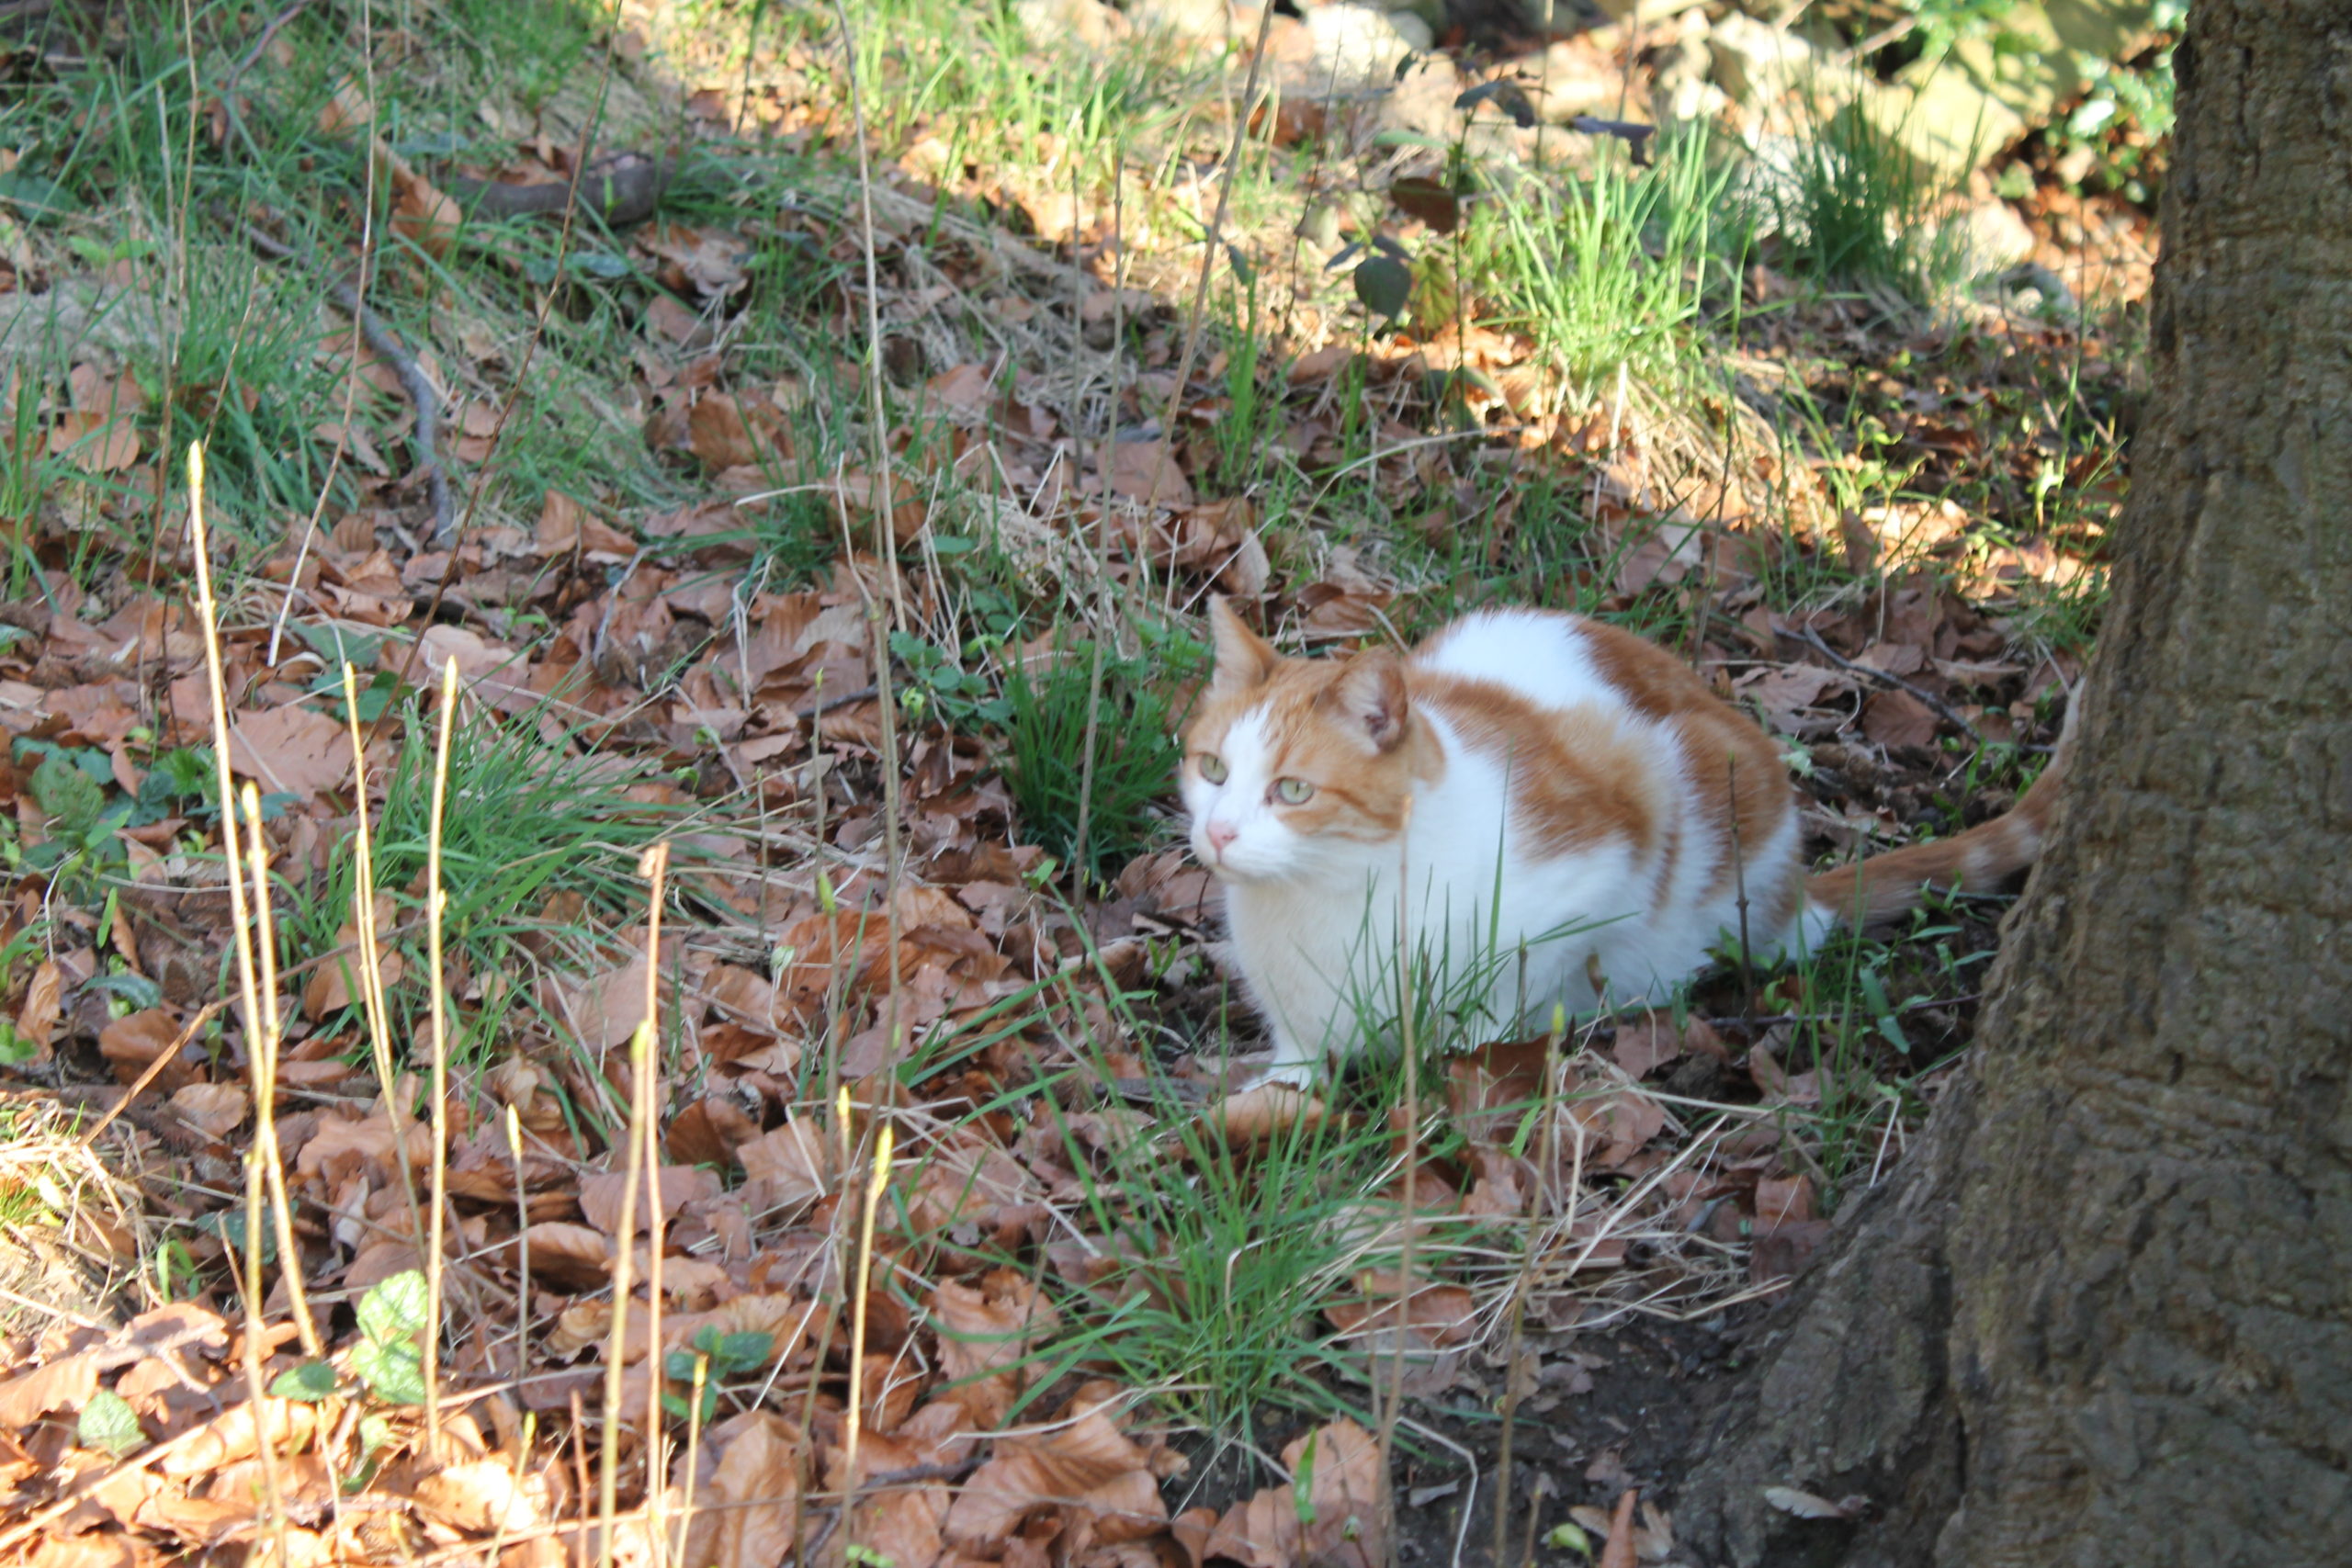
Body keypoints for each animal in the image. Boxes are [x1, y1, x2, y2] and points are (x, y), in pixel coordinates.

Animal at [1185, 594, 2069, 1086]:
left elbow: (1497, 1010)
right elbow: (1295, 1063)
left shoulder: (1602, 858)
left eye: (1292, 790)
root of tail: (1795, 888)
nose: (1218, 831)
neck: (1327, 899)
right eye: (1211, 767)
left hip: (1703, 780)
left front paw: (1456, 1066)